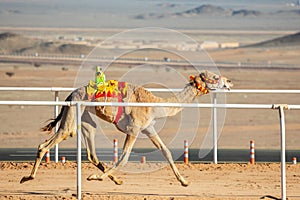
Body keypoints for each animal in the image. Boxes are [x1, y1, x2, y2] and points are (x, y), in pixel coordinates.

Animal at [19, 70, 233, 186]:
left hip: (86, 117)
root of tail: (69, 95)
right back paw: (27, 177)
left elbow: (166, 151)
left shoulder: (148, 128)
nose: (230, 82)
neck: (154, 104)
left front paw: (184, 181)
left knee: (91, 152)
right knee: (49, 142)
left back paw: (115, 180)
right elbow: (124, 157)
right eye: (215, 77)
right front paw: (96, 178)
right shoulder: (134, 129)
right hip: (72, 114)